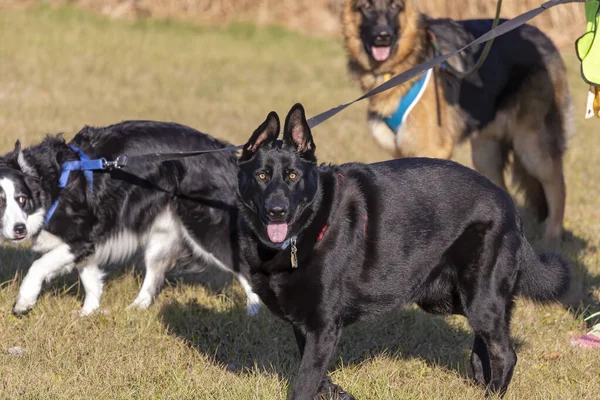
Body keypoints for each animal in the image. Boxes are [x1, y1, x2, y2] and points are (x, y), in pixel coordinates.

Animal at [237, 104, 568, 398]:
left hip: (477, 296)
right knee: (489, 336)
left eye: (292, 176)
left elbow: (305, 383)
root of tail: (508, 203)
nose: (277, 211)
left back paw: (493, 392)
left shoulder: (322, 326)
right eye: (262, 176)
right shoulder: (307, 326)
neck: (313, 223)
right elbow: (316, 375)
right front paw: (334, 391)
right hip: (448, 296)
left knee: (505, 352)